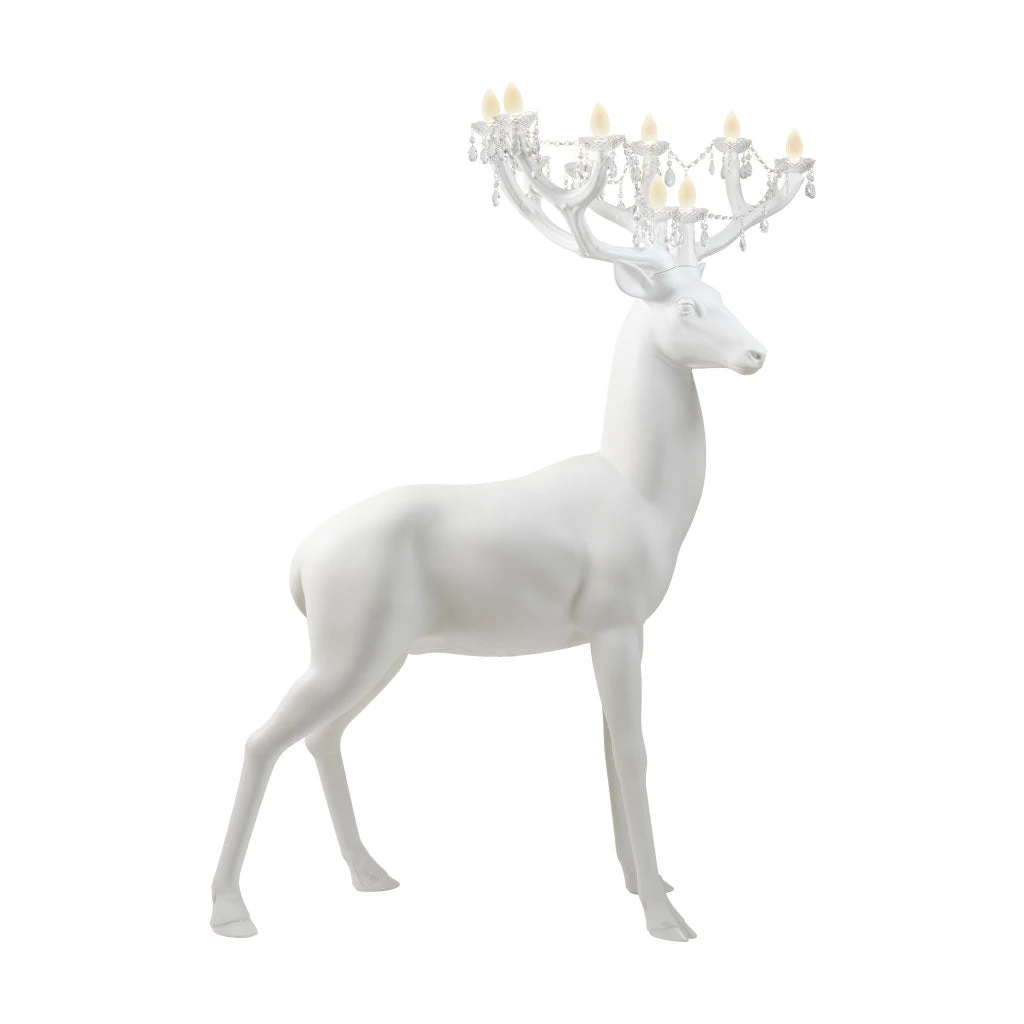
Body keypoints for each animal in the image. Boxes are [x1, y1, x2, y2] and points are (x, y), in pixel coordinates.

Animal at [210, 117, 810, 942]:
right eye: (688, 308)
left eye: (721, 293)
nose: (756, 352)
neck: (644, 496)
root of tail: (299, 565)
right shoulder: (617, 617)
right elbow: (634, 751)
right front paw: (665, 917)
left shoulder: (613, 628)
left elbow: (606, 748)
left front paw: (642, 879)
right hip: (345, 641)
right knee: (262, 737)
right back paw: (230, 909)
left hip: (383, 651)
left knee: (322, 736)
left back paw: (370, 872)